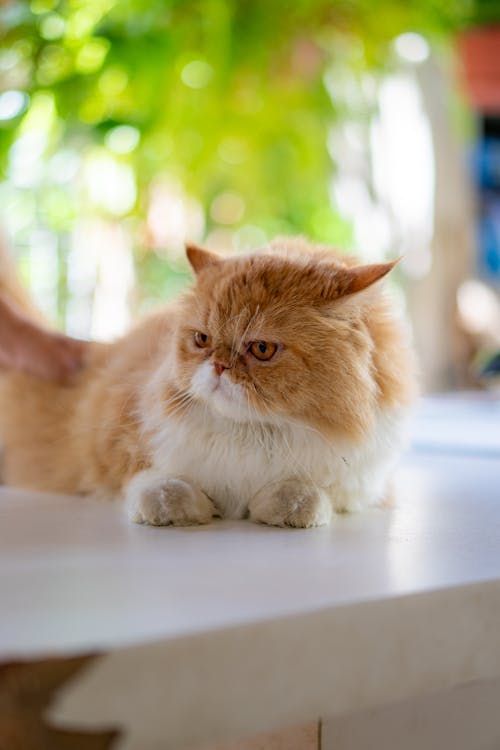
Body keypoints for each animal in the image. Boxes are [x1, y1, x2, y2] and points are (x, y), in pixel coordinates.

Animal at [0, 239, 414, 528]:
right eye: (202, 339)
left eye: (261, 348)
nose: (217, 365)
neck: (252, 436)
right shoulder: (113, 439)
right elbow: (154, 485)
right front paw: (182, 510)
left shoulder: (363, 483)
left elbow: (305, 495)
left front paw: (284, 508)